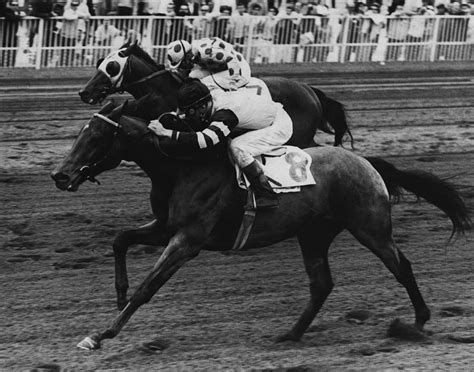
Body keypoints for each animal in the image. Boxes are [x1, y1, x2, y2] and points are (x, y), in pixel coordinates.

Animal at [50, 103, 468, 350]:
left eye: (98, 136)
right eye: (81, 133)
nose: (60, 175)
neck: (182, 166)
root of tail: (366, 161)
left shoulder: (188, 240)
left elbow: (147, 287)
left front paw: (100, 334)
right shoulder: (166, 227)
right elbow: (120, 239)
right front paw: (118, 294)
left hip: (370, 227)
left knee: (401, 266)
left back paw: (418, 322)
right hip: (313, 234)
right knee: (321, 284)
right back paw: (291, 334)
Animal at [78, 43, 352, 147]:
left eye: (111, 66)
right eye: (100, 63)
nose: (84, 92)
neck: (164, 91)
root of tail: (310, 90)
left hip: (300, 136)